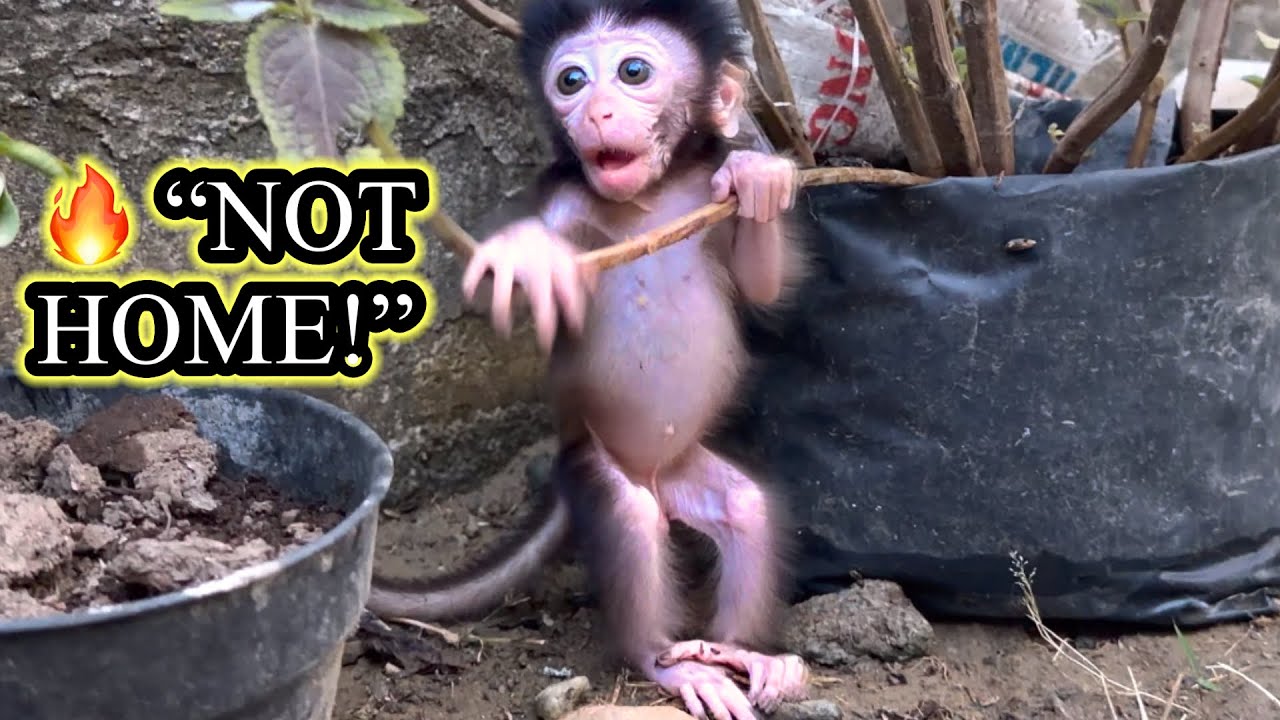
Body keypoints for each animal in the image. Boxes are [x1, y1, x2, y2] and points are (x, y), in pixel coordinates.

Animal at [366, 1, 811, 717]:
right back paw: (664, 663)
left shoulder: (704, 200)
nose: (596, 112)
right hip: (599, 466)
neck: (649, 198)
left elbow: (764, 286)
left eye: (632, 72)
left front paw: (758, 177)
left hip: (688, 471)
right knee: (632, 518)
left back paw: (744, 652)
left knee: (747, 509)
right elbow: (498, 281)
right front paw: (526, 253)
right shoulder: (563, 200)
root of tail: (657, 476)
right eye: (570, 81)